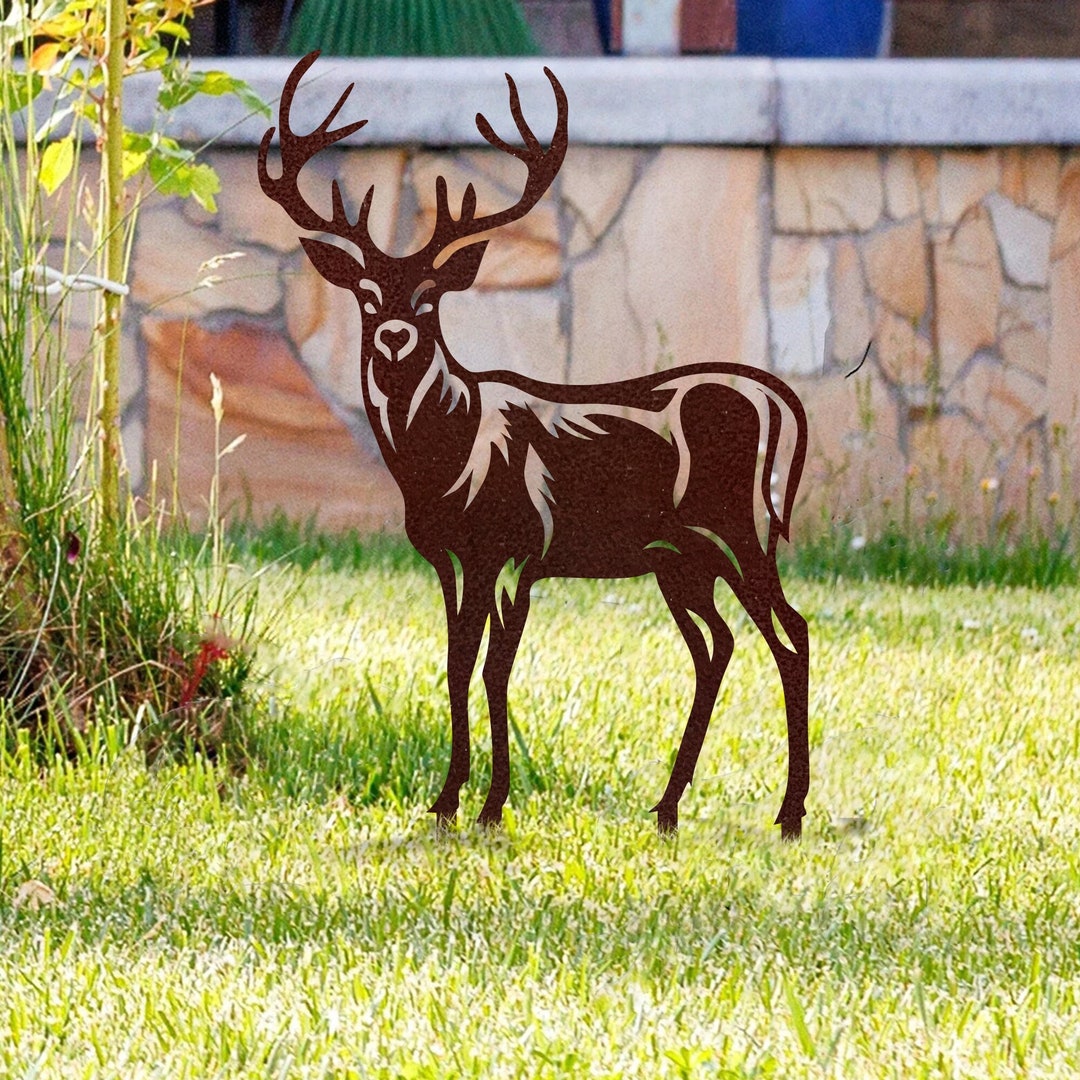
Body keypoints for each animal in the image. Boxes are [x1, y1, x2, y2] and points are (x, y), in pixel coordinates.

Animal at [259, 52, 811, 839]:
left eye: (429, 296)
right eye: (366, 295)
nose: (393, 336)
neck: (444, 464)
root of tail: (774, 397)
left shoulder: (518, 545)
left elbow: (496, 667)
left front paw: (490, 805)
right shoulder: (451, 556)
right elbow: (456, 661)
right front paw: (446, 800)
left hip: (738, 526)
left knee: (790, 634)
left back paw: (789, 812)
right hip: (680, 558)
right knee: (719, 647)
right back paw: (668, 806)